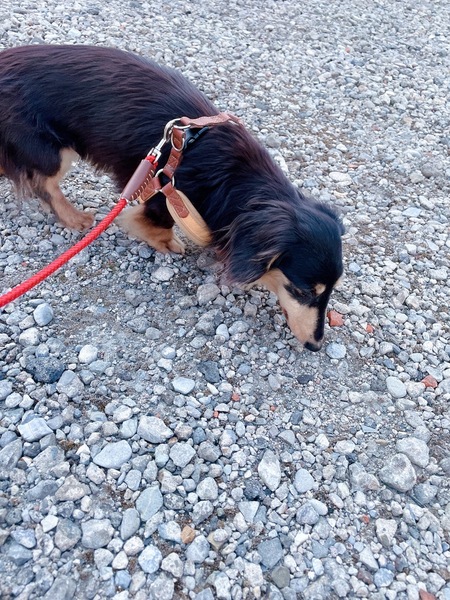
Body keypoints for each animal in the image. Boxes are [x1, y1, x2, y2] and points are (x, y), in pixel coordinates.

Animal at [0, 45, 344, 351]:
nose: (316, 345)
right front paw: (166, 242)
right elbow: (154, 223)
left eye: (330, 291)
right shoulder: (164, 189)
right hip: (56, 152)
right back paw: (75, 217)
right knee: (44, 186)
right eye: (302, 290)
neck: (237, 181)